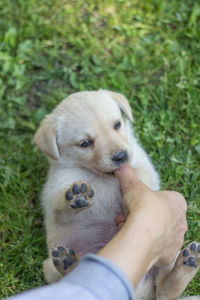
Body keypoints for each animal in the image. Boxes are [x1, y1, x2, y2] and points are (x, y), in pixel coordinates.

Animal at [35, 89, 199, 300]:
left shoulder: (142, 163)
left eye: (117, 124)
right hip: (49, 266)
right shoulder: (55, 200)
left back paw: (188, 263)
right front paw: (78, 196)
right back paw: (68, 262)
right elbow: (63, 206)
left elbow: (142, 176)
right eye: (85, 143)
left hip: (168, 254)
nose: (121, 156)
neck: (102, 176)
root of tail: (138, 292)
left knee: (164, 290)